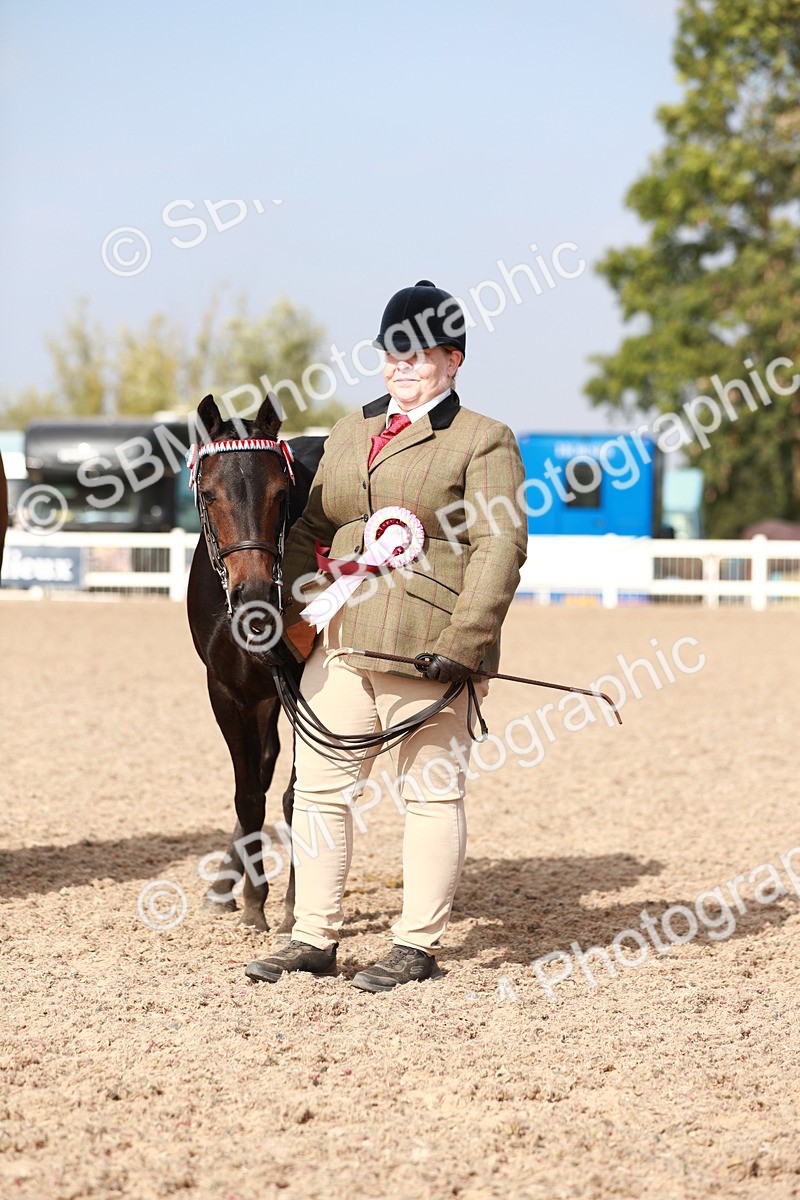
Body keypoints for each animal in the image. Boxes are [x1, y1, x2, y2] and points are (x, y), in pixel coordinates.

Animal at [186, 393, 325, 933]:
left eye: (281, 494)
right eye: (209, 494)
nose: (255, 593)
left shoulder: (307, 689)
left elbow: (297, 794)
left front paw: (292, 906)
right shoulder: (228, 691)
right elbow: (249, 795)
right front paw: (252, 900)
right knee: (261, 769)